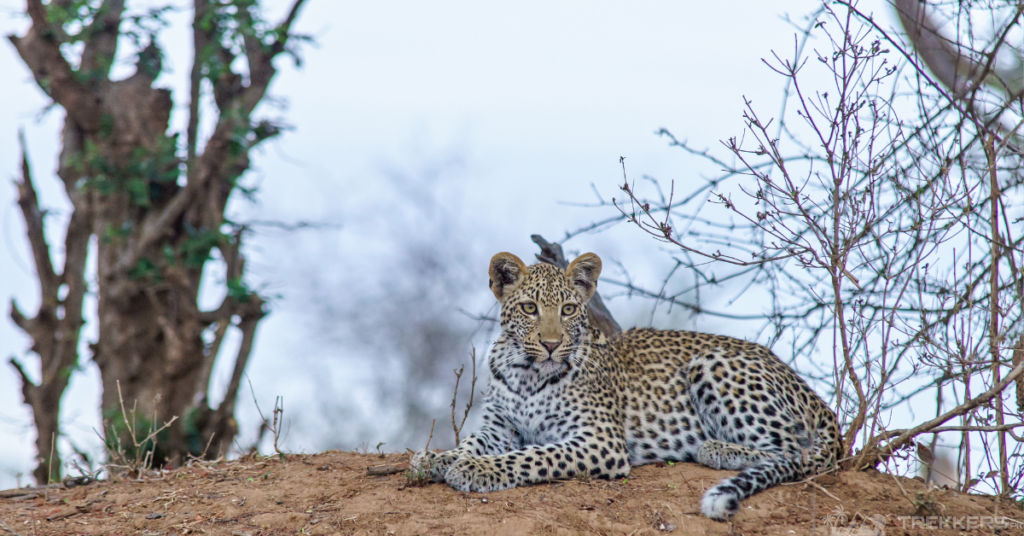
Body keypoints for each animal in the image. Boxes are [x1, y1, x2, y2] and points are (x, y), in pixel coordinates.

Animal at [411, 251, 841, 521]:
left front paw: (476, 468)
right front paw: (436, 458)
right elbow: (470, 441)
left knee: (800, 454)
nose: (551, 344)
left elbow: (530, 456)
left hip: (713, 363)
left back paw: (717, 449)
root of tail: (816, 399)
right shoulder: (499, 424)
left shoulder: (599, 440)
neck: (528, 373)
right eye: (530, 308)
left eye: (568, 310)